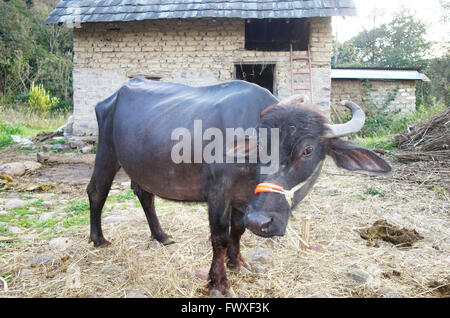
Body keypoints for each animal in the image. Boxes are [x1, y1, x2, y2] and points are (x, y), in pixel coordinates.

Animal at [88, 78, 390, 296]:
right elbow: (220, 237)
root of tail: (111, 99)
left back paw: (161, 236)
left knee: (144, 194)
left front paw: (238, 263)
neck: (251, 170)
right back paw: (99, 239)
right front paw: (218, 282)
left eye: (308, 150)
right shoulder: (218, 194)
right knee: (96, 191)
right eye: (261, 146)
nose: (263, 221)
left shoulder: (244, 200)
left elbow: (239, 230)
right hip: (106, 152)